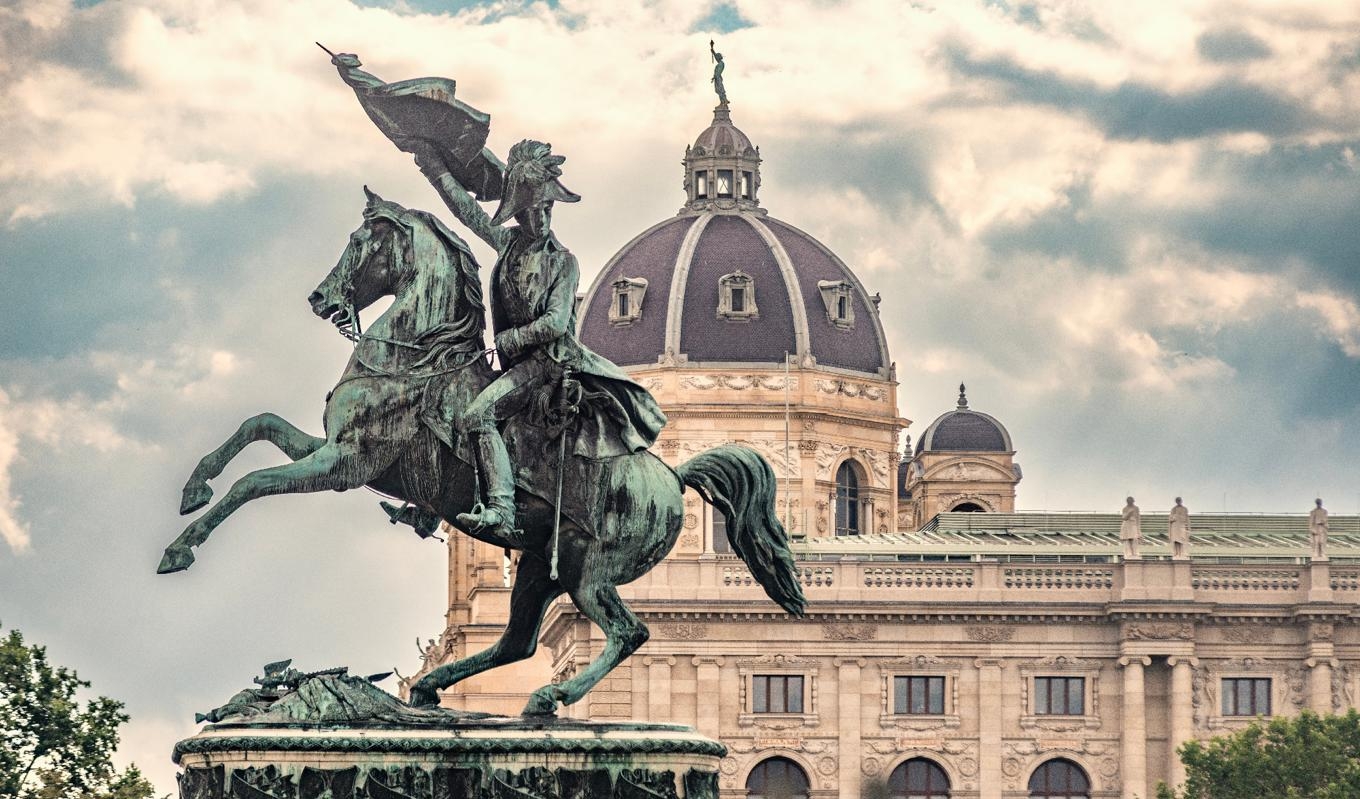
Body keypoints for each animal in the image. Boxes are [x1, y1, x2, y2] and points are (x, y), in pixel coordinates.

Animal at [156, 190, 805, 712]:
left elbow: (254, 482)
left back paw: (548, 696)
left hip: (592, 574)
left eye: (361, 243)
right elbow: (257, 425)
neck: (417, 357)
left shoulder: (345, 463)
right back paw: (431, 688)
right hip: (545, 571)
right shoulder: (338, 449)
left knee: (629, 634)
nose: (320, 298)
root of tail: (673, 476)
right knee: (519, 640)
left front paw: (179, 548)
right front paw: (193, 488)